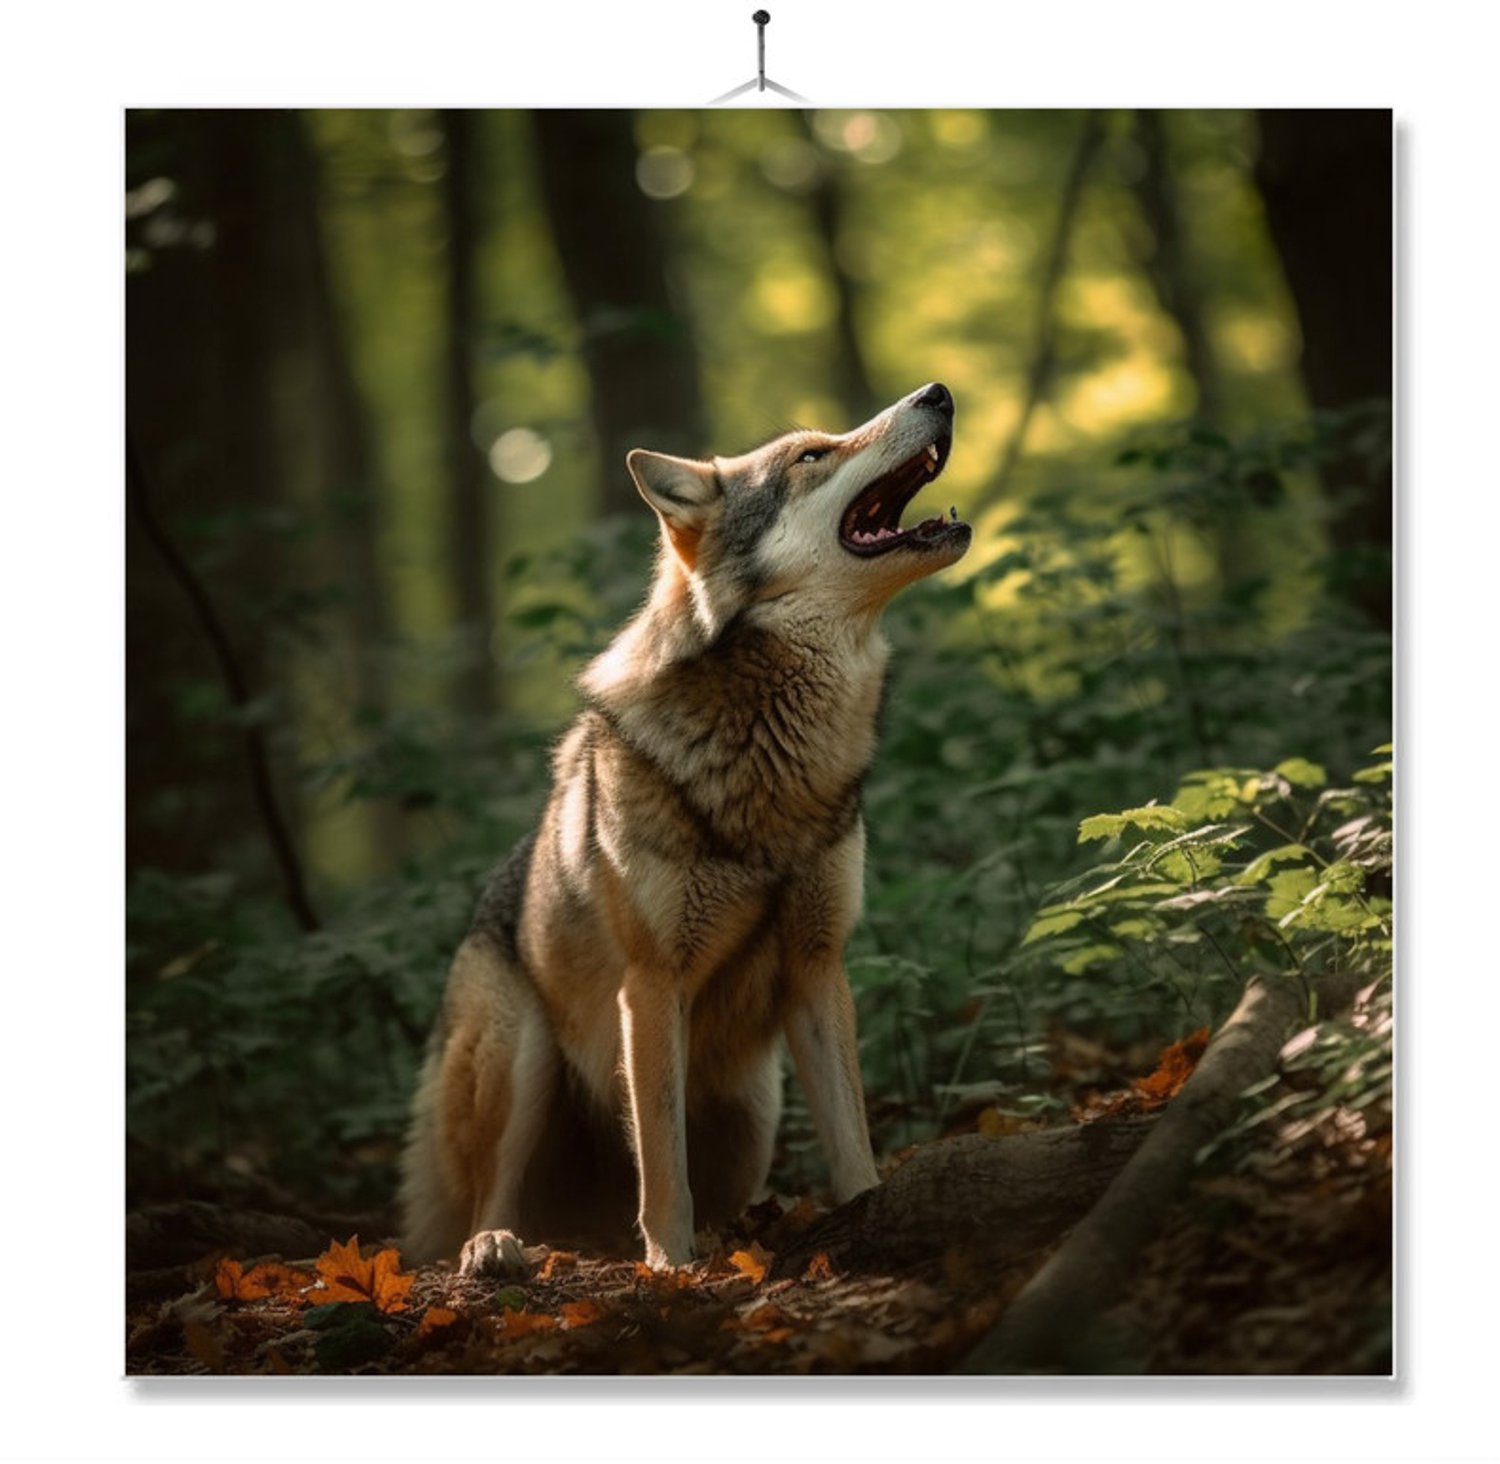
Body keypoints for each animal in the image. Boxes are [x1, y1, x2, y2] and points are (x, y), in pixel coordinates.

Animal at [399, 382, 970, 1273]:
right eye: (812, 455)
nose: (939, 391)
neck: (771, 759)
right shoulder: (651, 986)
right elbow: (663, 1161)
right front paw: (673, 1264)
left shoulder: (818, 970)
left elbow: (851, 1138)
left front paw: (869, 1214)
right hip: (522, 1055)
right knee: (492, 1197)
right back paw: (495, 1249)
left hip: (753, 1108)